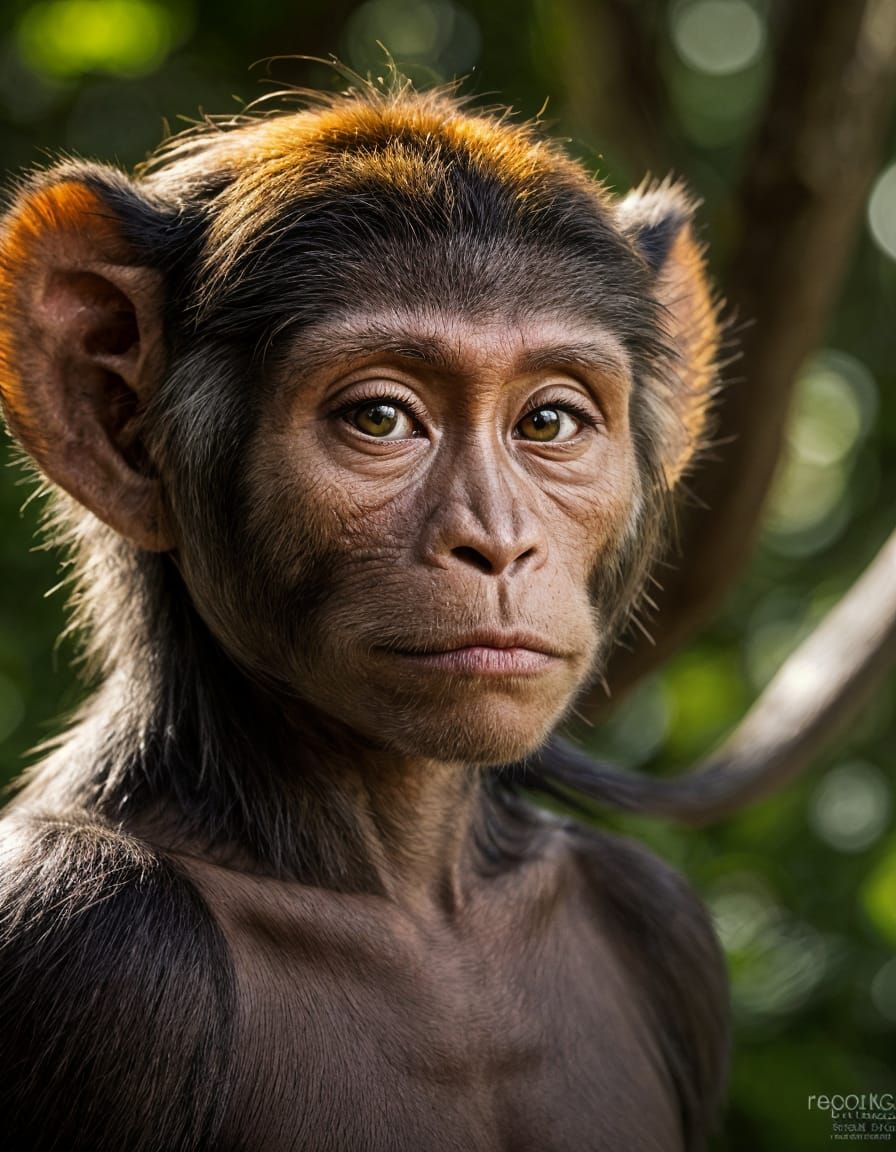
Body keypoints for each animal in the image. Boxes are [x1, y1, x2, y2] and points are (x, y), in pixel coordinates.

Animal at [0, 80, 728, 1151]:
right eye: (380, 419)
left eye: (549, 421)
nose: (497, 544)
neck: (406, 884)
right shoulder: (79, 931)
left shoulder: (661, 920)